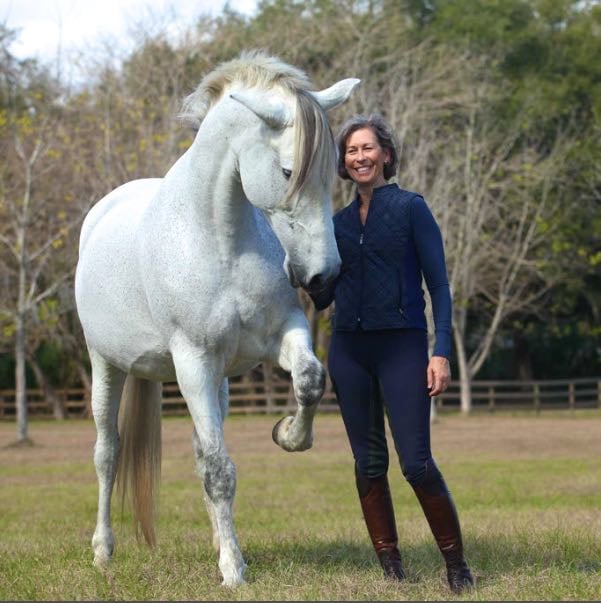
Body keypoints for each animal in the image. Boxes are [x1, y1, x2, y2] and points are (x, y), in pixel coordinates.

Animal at [73, 52, 358, 584]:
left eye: (335, 171)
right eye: (288, 171)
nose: (323, 275)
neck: (220, 239)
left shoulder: (283, 335)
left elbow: (310, 380)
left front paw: (289, 435)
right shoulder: (193, 361)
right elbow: (219, 469)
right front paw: (233, 571)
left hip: (218, 381)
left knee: (197, 449)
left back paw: (217, 539)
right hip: (107, 365)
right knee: (108, 453)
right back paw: (103, 551)